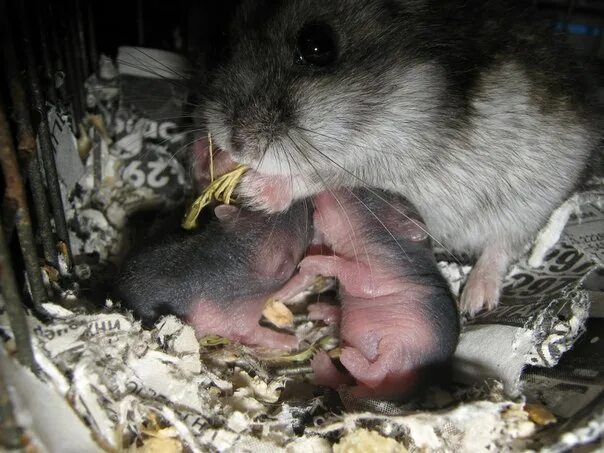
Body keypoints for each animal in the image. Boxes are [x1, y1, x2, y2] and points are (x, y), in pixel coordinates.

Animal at [197, 0, 600, 314]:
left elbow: (322, 174)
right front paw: (211, 159)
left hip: (528, 205)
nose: (235, 144)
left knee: (502, 247)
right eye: (228, 37)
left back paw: (474, 301)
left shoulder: (397, 157)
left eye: (316, 46)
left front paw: (253, 191)